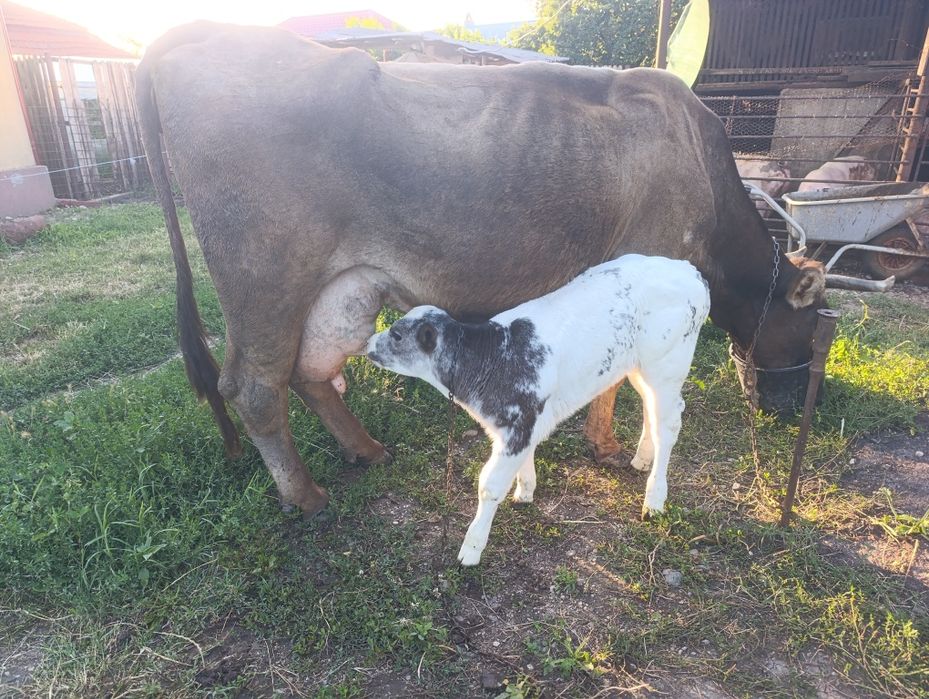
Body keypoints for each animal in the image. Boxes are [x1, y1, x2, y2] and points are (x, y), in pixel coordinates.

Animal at [136, 23, 830, 516]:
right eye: (810, 330)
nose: (798, 408)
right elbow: (616, 377)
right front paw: (608, 448)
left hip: (342, 285)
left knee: (311, 370)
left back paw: (366, 450)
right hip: (264, 276)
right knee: (253, 387)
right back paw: (305, 497)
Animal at [367, 255, 711, 564]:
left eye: (396, 334)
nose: (368, 343)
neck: (492, 356)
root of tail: (687, 269)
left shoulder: (519, 425)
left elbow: (489, 486)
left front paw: (471, 550)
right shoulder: (520, 424)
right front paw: (525, 491)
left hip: (668, 366)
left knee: (668, 424)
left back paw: (654, 499)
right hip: (639, 368)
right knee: (650, 410)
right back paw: (642, 458)